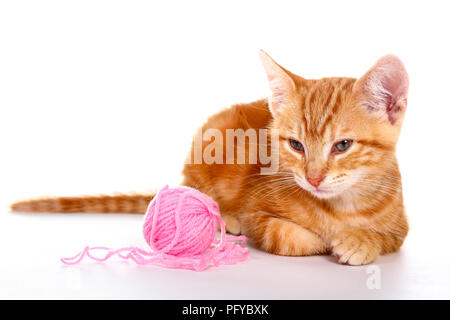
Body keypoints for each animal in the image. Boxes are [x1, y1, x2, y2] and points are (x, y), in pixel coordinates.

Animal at [11, 50, 412, 264]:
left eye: (342, 146)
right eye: (296, 146)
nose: (312, 178)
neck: (339, 207)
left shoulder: (401, 227)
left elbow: (386, 237)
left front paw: (359, 241)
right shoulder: (259, 210)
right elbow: (288, 236)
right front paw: (323, 240)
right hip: (209, 140)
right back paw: (225, 216)